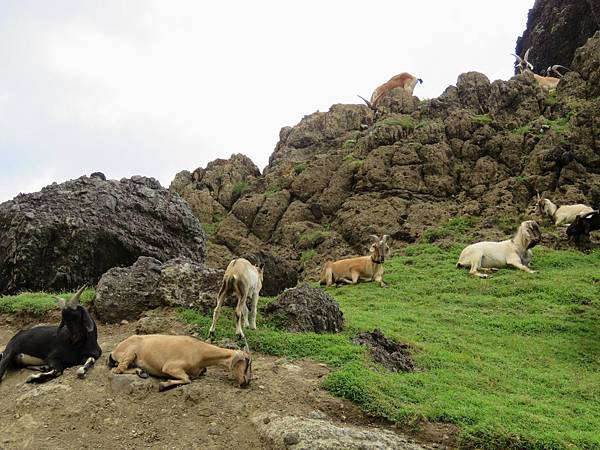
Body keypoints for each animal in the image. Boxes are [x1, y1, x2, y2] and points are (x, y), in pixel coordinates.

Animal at [109, 334, 252, 390]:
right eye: (246, 362)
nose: (246, 382)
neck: (199, 352)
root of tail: (114, 351)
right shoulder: (170, 367)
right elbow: (187, 379)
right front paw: (163, 385)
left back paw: (142, 372)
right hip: (130, 353)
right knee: (117, 370)